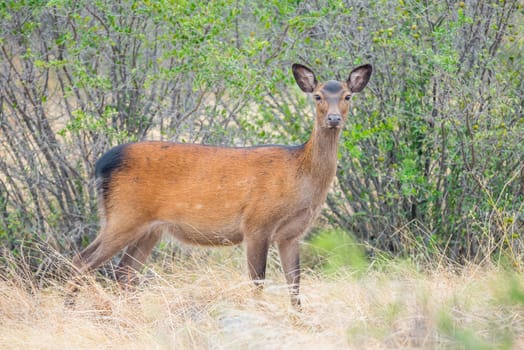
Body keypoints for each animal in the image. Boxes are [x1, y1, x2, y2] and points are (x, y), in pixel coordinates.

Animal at [69, 62, 372, 306]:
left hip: (150, 228)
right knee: (82, 261)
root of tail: (101, 164)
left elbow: (295, 287)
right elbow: (257, 283)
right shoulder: (256, 223)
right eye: (318, 96)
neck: (300, 178)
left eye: (347, 96)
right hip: (124, 215)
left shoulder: (291, 234)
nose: (334, 118)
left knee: (125, 272)